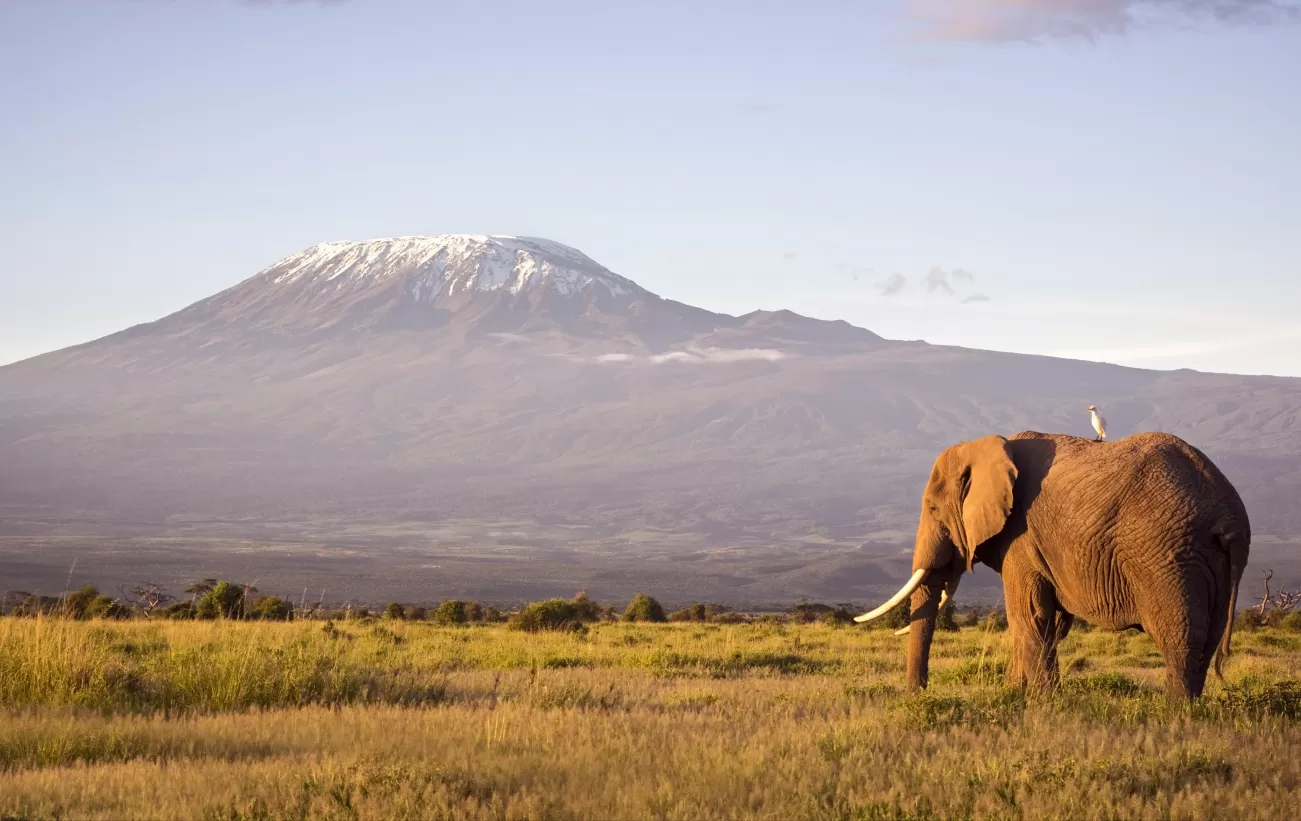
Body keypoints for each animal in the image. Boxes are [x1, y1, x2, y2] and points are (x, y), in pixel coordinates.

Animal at [853, 426, 1248, 702]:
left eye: (933, 509)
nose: (918, 694)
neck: (988, 445)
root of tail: (1229, 516)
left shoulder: (1022, 537)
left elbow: (1028, 615)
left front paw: (1041, 703)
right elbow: (1049, 622)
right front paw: (1015, 694)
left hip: (1167, 557)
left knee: (1179, 637)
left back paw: (1175, 714)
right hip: (1209, 563)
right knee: (1207, 639)